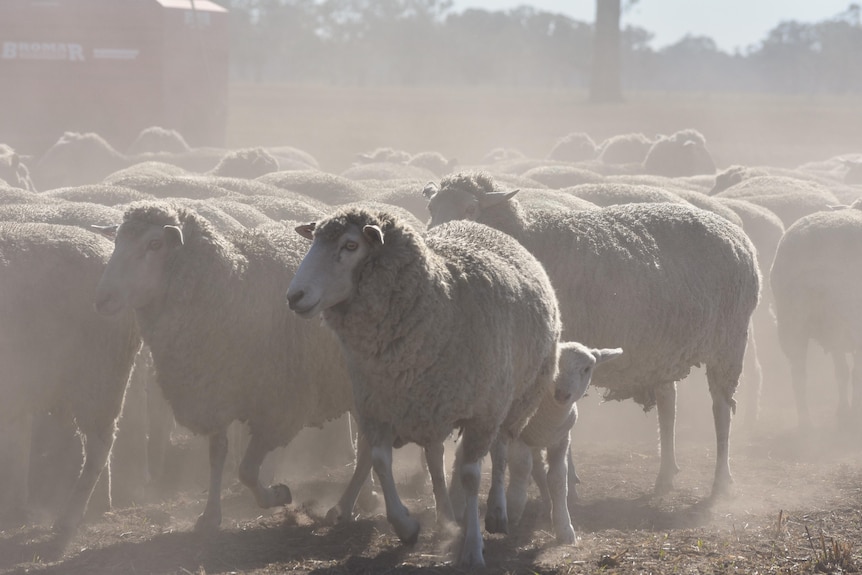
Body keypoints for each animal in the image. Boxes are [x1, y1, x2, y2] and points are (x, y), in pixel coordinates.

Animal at [92, 201, 371, 533]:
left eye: (154, 244)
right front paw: (211, 516)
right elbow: (218, 455)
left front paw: (276, 495)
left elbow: (247, 470)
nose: (102, 298)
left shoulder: (278, 404)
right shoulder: (215, 390)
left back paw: (351, 504)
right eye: (117, 241)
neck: (232, 286)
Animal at [286, 207, 562, 567]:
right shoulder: (379, 405)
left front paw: (472, 547)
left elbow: (471, 475)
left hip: (515, 400)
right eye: (314, 240)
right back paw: (446, 517)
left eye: (350, 245)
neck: (439, 300)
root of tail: (475, 224)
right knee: (435, 458)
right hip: (431, 408)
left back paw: (497, 512)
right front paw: (406, 526)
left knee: (501, 449)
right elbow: (379, 461)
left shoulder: (483, 413)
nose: (294, 296)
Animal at [425, 172, 761, 498]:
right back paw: (665, 476)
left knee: (721, 409)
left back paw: (721, 481)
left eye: (470, 209)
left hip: (730, 341)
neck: (528, 237)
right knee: (669, 406)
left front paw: (565, 480)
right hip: (665, 348)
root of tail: (737, 234)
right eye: (431, 207)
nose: (437, 240)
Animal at [507, 343, 622, 543]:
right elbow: (521, 467)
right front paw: (514, 508)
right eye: (554, 363)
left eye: (587, 368)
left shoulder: (560, 441)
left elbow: (558, 479)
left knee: (538, 470)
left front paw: (564, 528)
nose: (562, 394)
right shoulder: (517, 436)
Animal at [769, 204, 862, 430]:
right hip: (847, 316)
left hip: (792, 321)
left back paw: (806, 423)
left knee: (798, 376)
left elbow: (841, 371)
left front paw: (842, 411)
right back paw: (853, 413)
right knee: (856, 373)